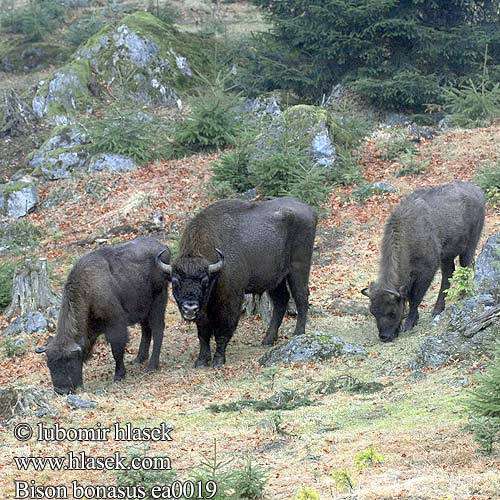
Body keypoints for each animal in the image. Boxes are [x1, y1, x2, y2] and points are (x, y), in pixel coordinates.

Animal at [35, 237, 171, 394]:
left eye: (70, 363)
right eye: (49, 365)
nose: (62, 390)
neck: (88, 290)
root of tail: (163, 246)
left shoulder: (115, 325)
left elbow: (116, 350)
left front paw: (118, 376)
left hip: (158, 302)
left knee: (157, 329)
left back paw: (151, 366)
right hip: (144, 309)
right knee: (146, 330)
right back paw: (139, 359)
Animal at [158, 198, 318, 368]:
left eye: (204, 281)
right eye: (175, 282)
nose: (189, 308)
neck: (215, 270)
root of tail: (310, 210)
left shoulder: (230, 300)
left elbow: (223, 331)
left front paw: (218, 361)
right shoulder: (203, 310)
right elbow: (203, 333)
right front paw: (201, 360)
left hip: (298, 269)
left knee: (301, 298)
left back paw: (298, 334)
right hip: (276, 280)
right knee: (281, 302)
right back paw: (267, 340)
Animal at [364, 181, 484, 344]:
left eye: (392, 312)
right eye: (373, 312)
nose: (384, 337)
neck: (408, 232)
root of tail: (478, 191)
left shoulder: (426, 271)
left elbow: (415, 297)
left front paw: (408, 324)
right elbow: (409, 295)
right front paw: (414, 320)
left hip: (469, 246)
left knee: (465, 267)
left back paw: (461, 297)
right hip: (447, 256)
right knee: (448, 275)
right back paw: (438, 310)